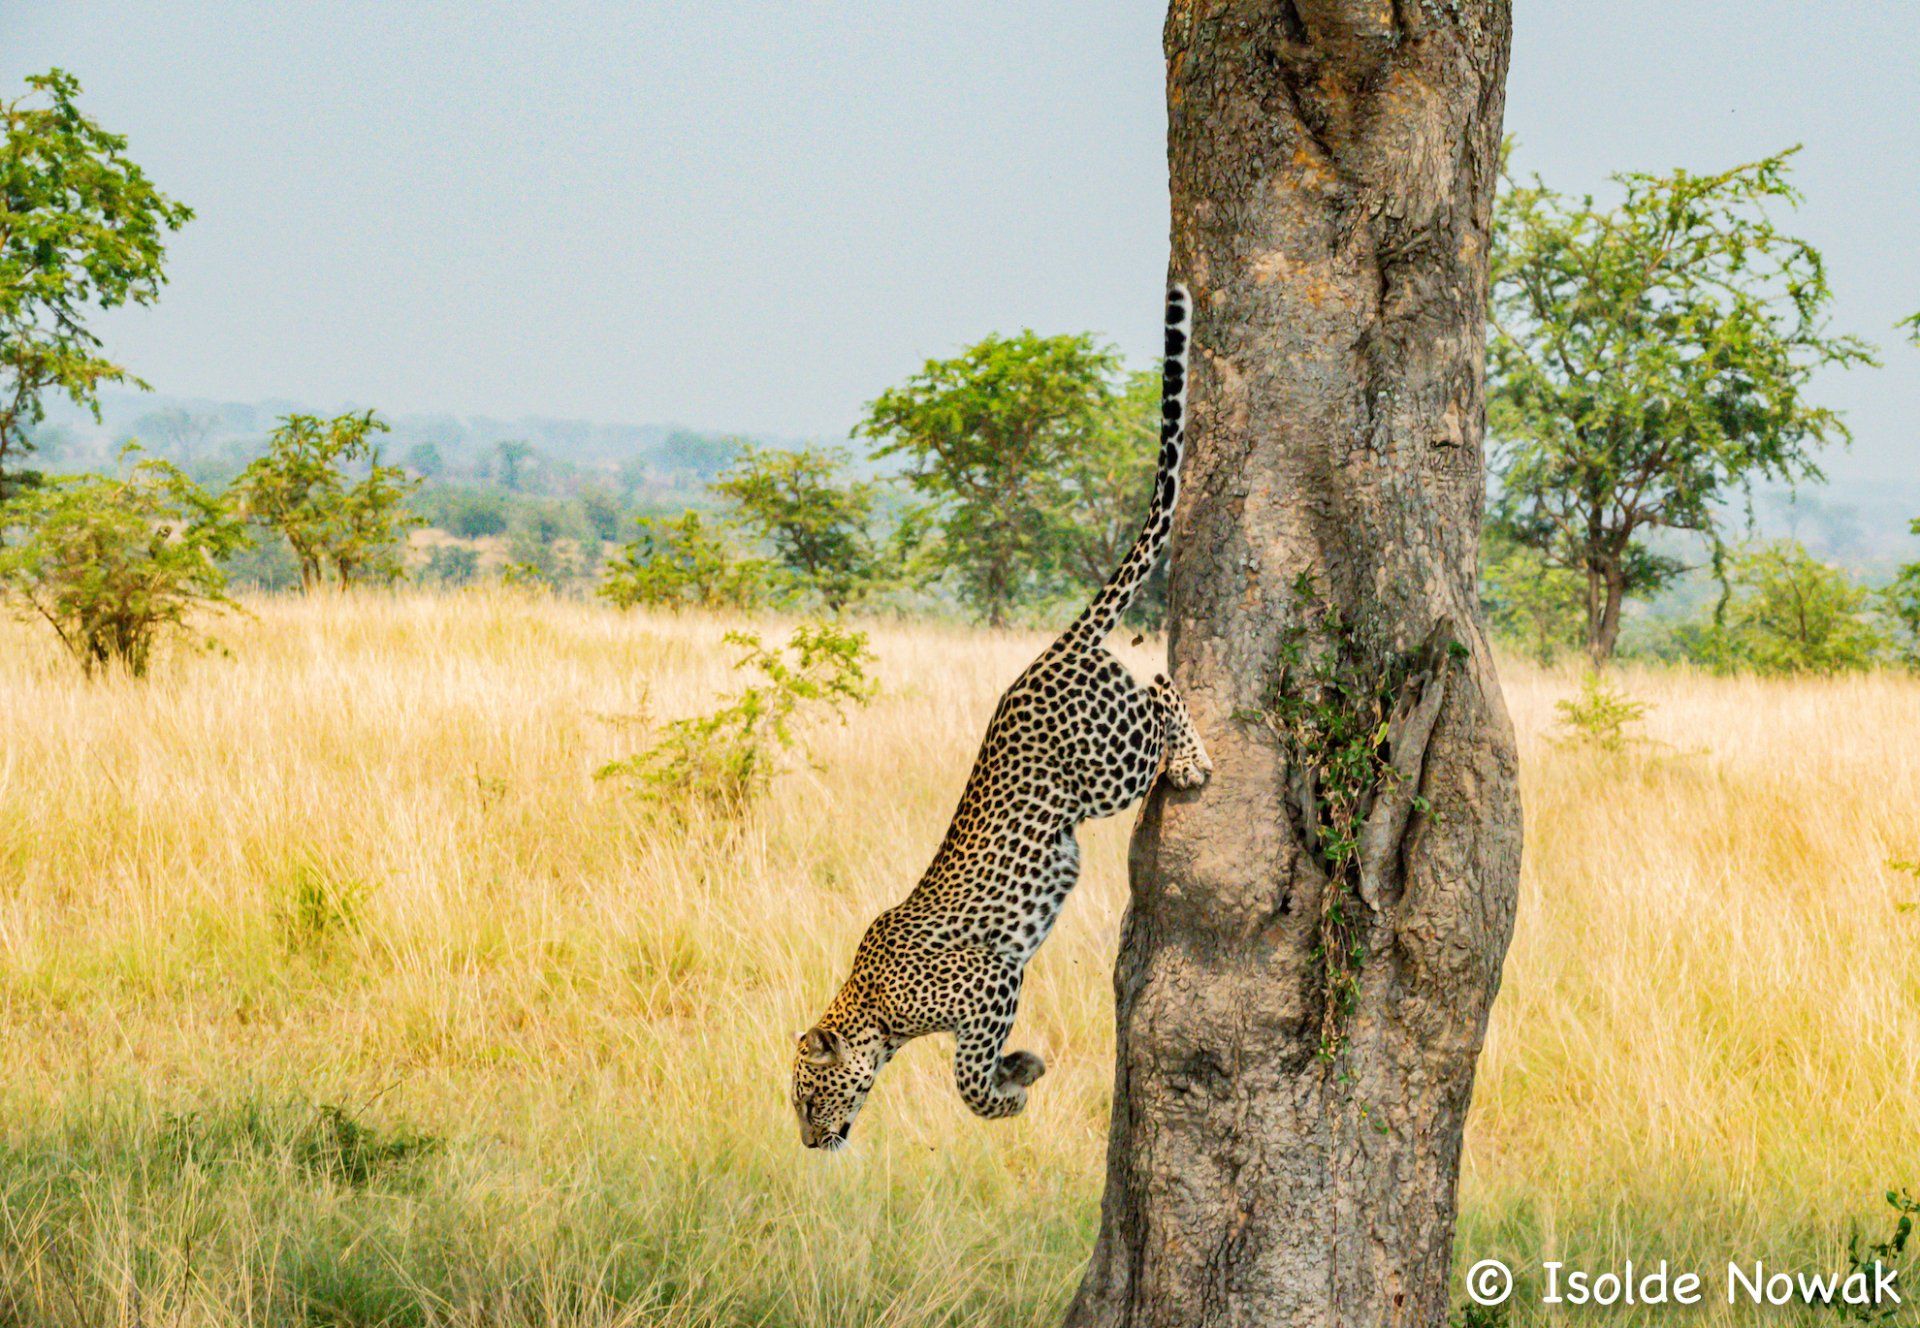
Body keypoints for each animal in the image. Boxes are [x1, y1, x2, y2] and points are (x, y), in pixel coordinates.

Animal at [791, 284, 1211, 1151]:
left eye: (809, 1100)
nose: (811, 1144)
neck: (873, 1010)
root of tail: (1048, 652)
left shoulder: (991, 977)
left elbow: (963, 1078)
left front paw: (1010, 1088)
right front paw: (1021, 1069)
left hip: (1110, 767)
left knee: (1161, 687)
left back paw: (1191, 758)